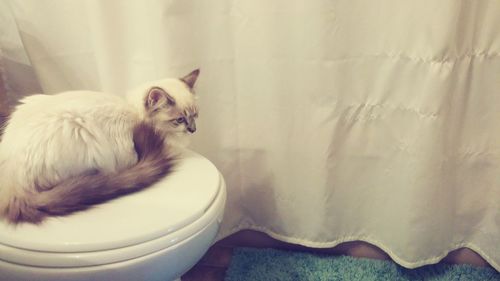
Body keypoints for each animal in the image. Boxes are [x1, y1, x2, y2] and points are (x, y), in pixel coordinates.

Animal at [0, 68, 199, 223]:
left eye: (195, 115)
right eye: (179, 120)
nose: (193, 130)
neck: (134, 112)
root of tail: (10, 185)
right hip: (81, 133)